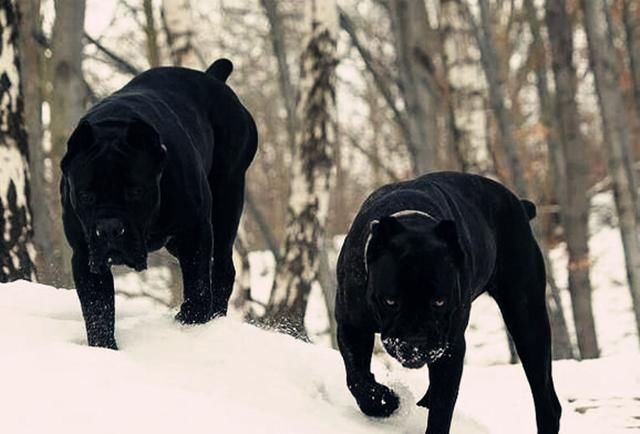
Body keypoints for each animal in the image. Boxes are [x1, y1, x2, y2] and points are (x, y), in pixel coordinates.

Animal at [60, 58, 258, 350]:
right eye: (86, 195)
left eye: (135, 192)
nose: (108, 228)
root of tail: (214, 78)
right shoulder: (85, 254)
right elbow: (98, 310)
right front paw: (104, 349)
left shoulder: (195, 231)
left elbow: (198, 285)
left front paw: (191, 320)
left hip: (227, 202)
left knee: (223, 269)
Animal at [336, 173, 560, 434]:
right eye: (390, 301)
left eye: (439, 301)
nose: (416, 341)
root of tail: (520, 206)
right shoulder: (351, 326)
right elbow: (357, 378)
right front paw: (385, 401)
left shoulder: (451, 349)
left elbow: (442, 409)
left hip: (527, 321)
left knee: (546, 400)